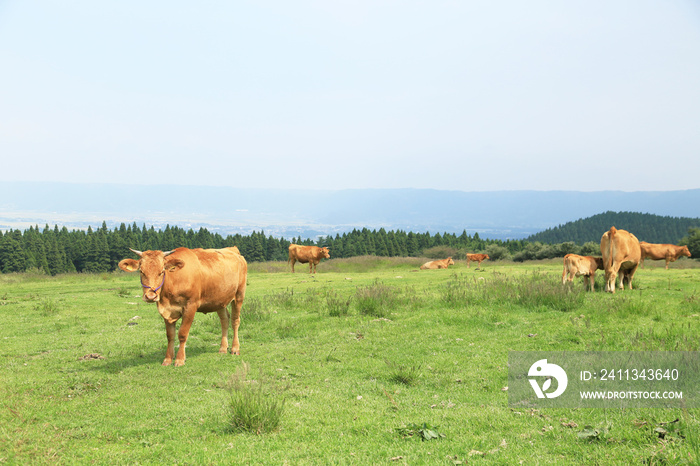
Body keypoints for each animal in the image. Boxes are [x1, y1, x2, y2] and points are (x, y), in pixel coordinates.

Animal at [116, 246, 245, 366]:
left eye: (162, 271)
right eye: (141, 271)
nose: (151, 296)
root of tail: (233, 249)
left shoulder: (190, 306)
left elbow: (182, 334)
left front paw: (179, 359)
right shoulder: (166, 311)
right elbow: (170, 335)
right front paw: (168, 359)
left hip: (239, 295)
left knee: (235, 321)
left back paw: (235, 349)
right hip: (219, 300)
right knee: (224, 320)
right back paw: (223, 348)